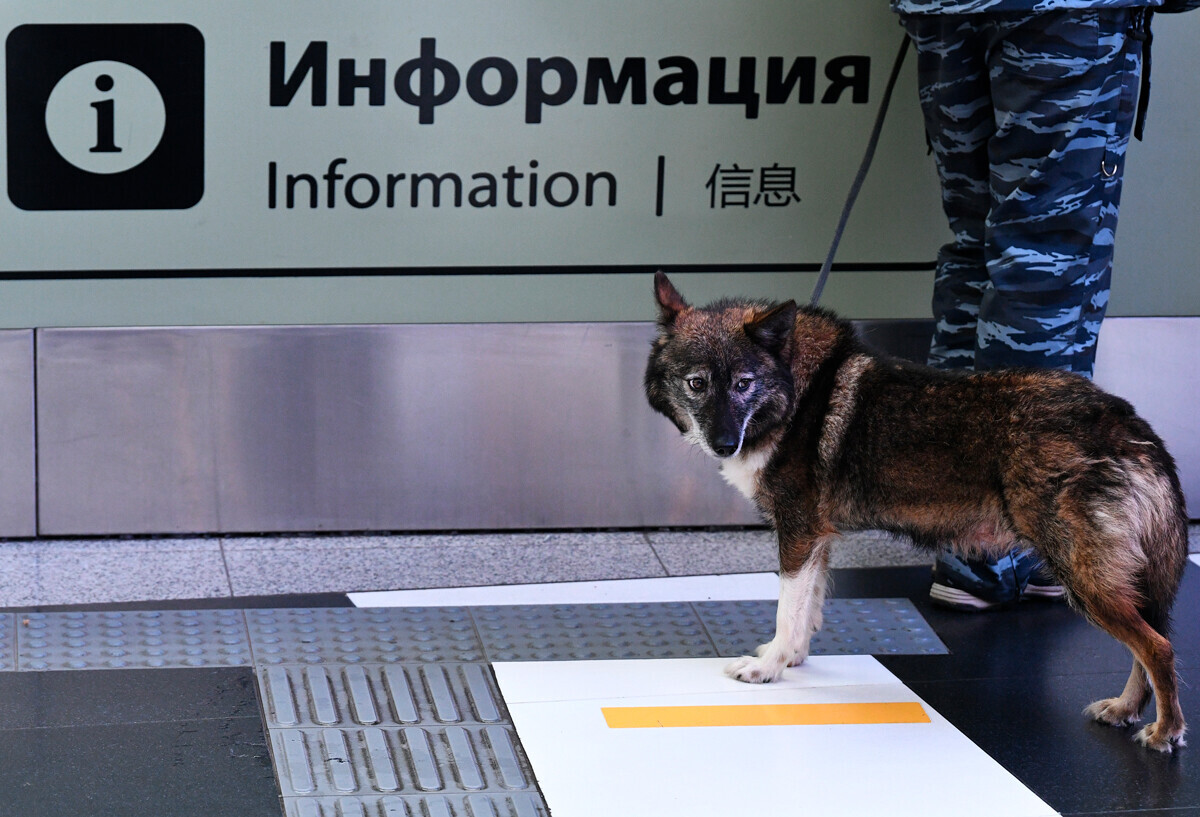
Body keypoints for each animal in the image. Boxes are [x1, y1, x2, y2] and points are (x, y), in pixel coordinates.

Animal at [643, 272, 1185, 753]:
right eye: (696, 384)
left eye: (743, 384)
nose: (724, 445)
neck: (797, 392)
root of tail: (1129, 423)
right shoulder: (817, 538)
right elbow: (807, 611)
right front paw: (792, 658)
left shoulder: (797, 535)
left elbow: (786, 609)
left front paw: (768, 668)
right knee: (1150, 641)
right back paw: (1124, 709)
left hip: (1083, 579)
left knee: (1158, 647)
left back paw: (1164, 732)